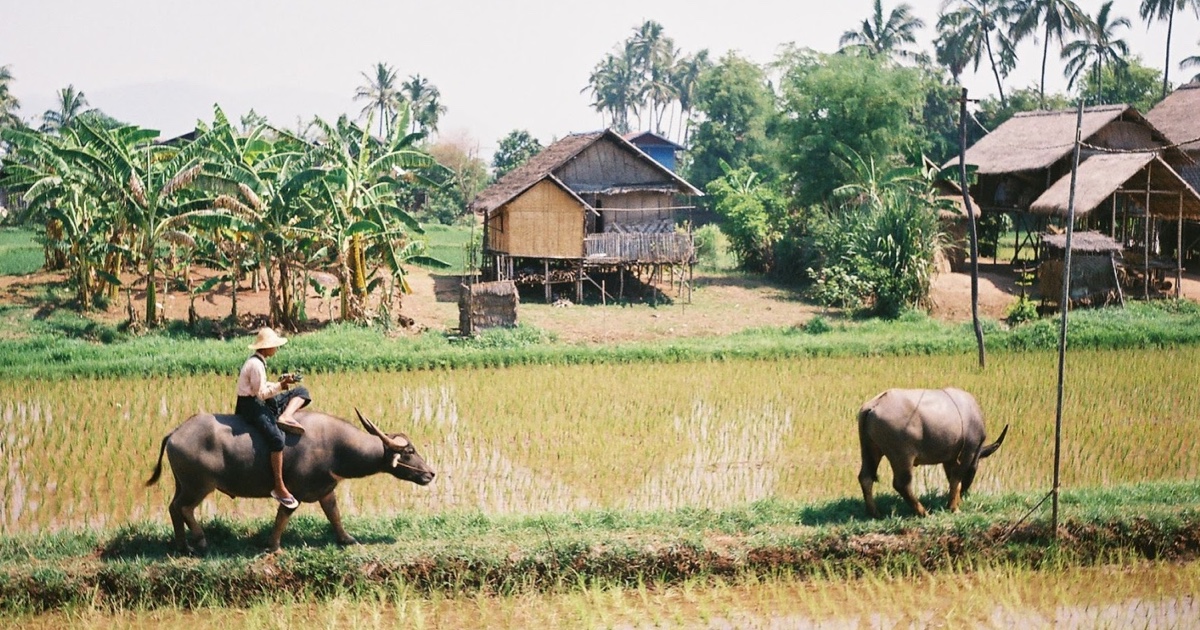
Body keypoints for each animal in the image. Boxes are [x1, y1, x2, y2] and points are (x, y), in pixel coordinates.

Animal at [147, 408, 434, 549]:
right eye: (409, 451)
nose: (431, 473)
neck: (335, 447)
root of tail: (175, 432)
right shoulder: (295, 491)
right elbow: (283, 515)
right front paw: (273, 545)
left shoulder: (325, 489)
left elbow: (334, 514)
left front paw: (347, 539)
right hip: (199, 485)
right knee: (185, 508)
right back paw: (200, 540)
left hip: (182, 484)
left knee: (173, 508)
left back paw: (182, 545)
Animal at [859, 388, 1008, 516]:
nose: (965, 494)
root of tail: (873, 406)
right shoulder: (968, 451)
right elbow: (956, 478)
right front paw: (954, 508)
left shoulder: (950, 458)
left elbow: (952, 479)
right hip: (902, 457)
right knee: (902, 484)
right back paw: (923, 512)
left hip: (870, 450)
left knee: (865, 477)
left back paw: (874, 512)